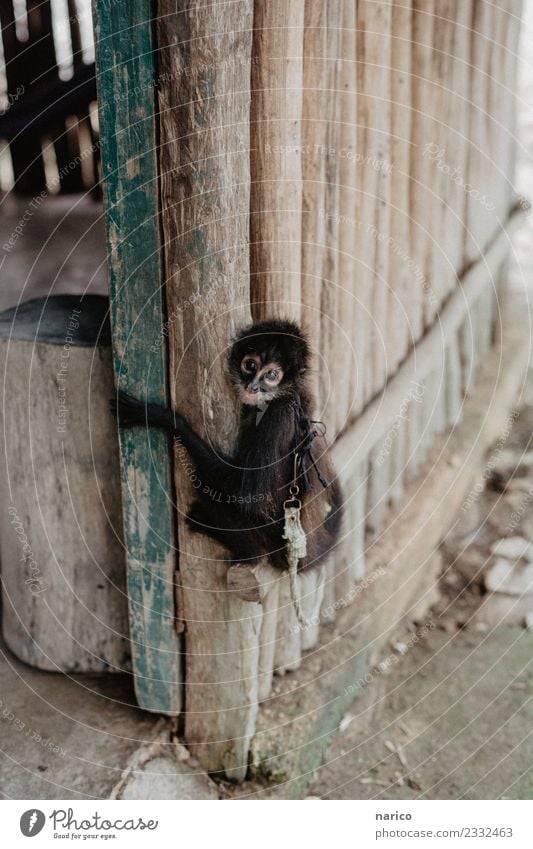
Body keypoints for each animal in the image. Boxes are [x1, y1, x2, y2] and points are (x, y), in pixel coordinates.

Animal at [111, 322, 340, 572]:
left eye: (271, 375)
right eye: (250, 365)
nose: (253, 386)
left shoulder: (277, 413)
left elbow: (248, 496)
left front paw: (161, 417)